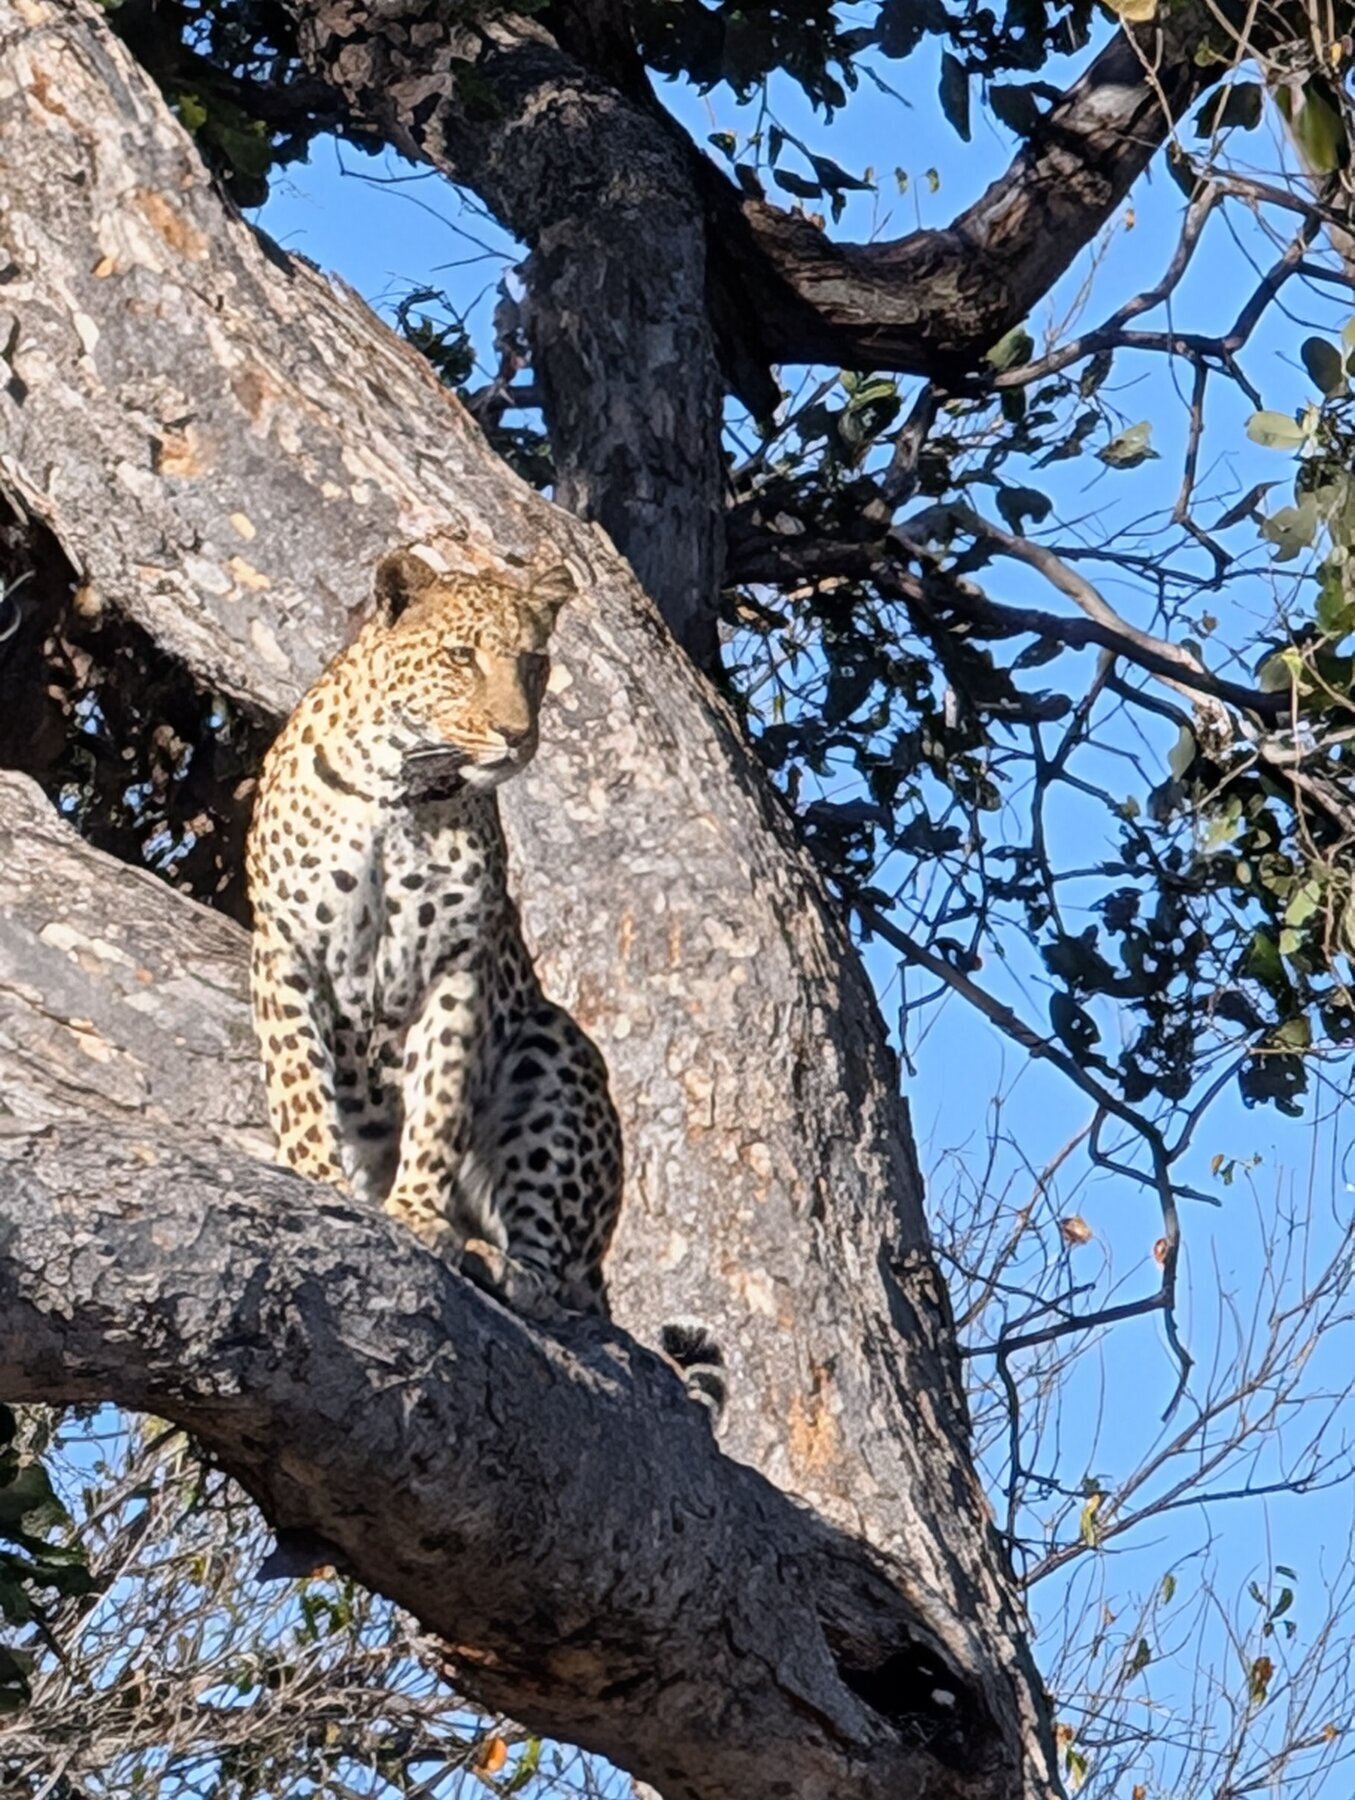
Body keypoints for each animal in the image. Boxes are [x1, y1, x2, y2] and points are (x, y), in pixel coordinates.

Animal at [246, 546, 723, 1413]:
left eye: (533, 664)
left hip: (556, 1049)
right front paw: (315, 1177)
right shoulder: (285, 948)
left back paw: (493, 1259)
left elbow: (437, 1101)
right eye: (460, 658)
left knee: (554, 1281)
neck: (399, 790)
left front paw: (417, 1213)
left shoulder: (456, 966)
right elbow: (298, 1080)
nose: (515, 736)